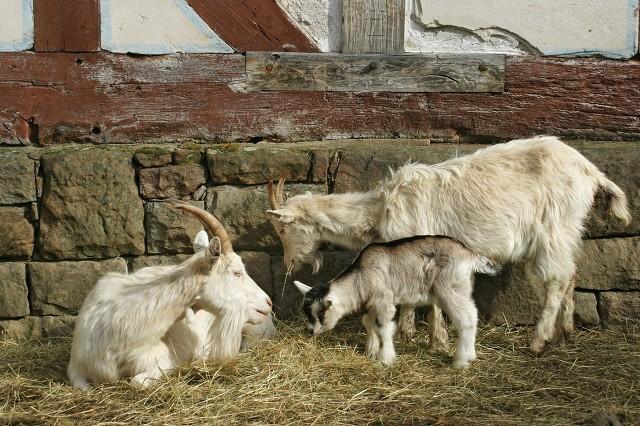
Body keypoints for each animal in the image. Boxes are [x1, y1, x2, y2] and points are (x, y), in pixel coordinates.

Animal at [268, 136, 632, 352]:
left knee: (556, 280)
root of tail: (590, 171)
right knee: (570, 275)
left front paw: (435, 340)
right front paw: (412, 333)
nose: (287, 264)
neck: (380, 209)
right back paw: (565, 332)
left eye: (283, 229)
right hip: (569, 231)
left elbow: (430, 301)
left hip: (553, 230)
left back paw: (538, 339)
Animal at [294, 235, 500, 368]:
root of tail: (470, 255)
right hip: (461, 289)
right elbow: (368, 324)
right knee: (472, 315)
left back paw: (460, 361)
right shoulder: (371, 304)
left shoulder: (384, 301)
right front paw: (371, 351)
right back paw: (471, 355)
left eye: (320, 314)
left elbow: (384, 328)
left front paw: (385, 359)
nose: (310, 331)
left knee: (465, 319)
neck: (361, 276)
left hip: (449, 289)